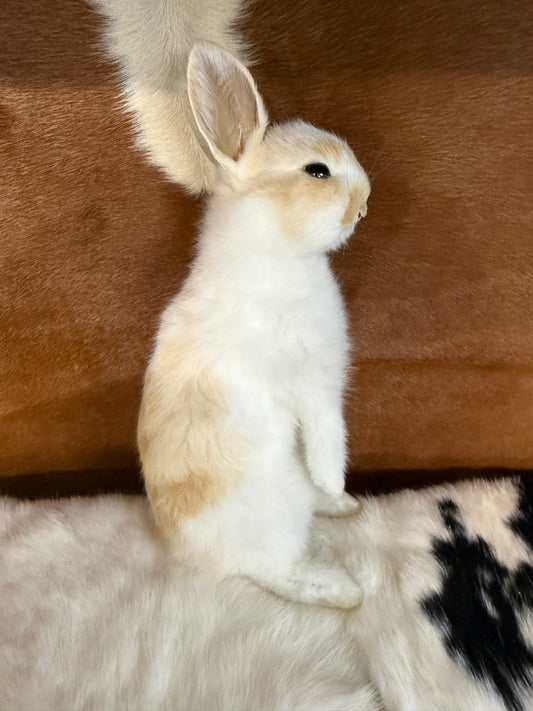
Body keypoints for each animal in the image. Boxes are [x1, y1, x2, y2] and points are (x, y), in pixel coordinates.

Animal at [137, 42, 370, 609]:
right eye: (317, 172)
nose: (364, 205)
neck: (277, 254)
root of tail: (191, 557)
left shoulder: (320, 383)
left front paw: (337, 492)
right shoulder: (310, 387)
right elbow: (329, 436)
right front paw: (335, 482)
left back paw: (340, 509)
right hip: (275, 517)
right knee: (273, 571)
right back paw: (341, 588)